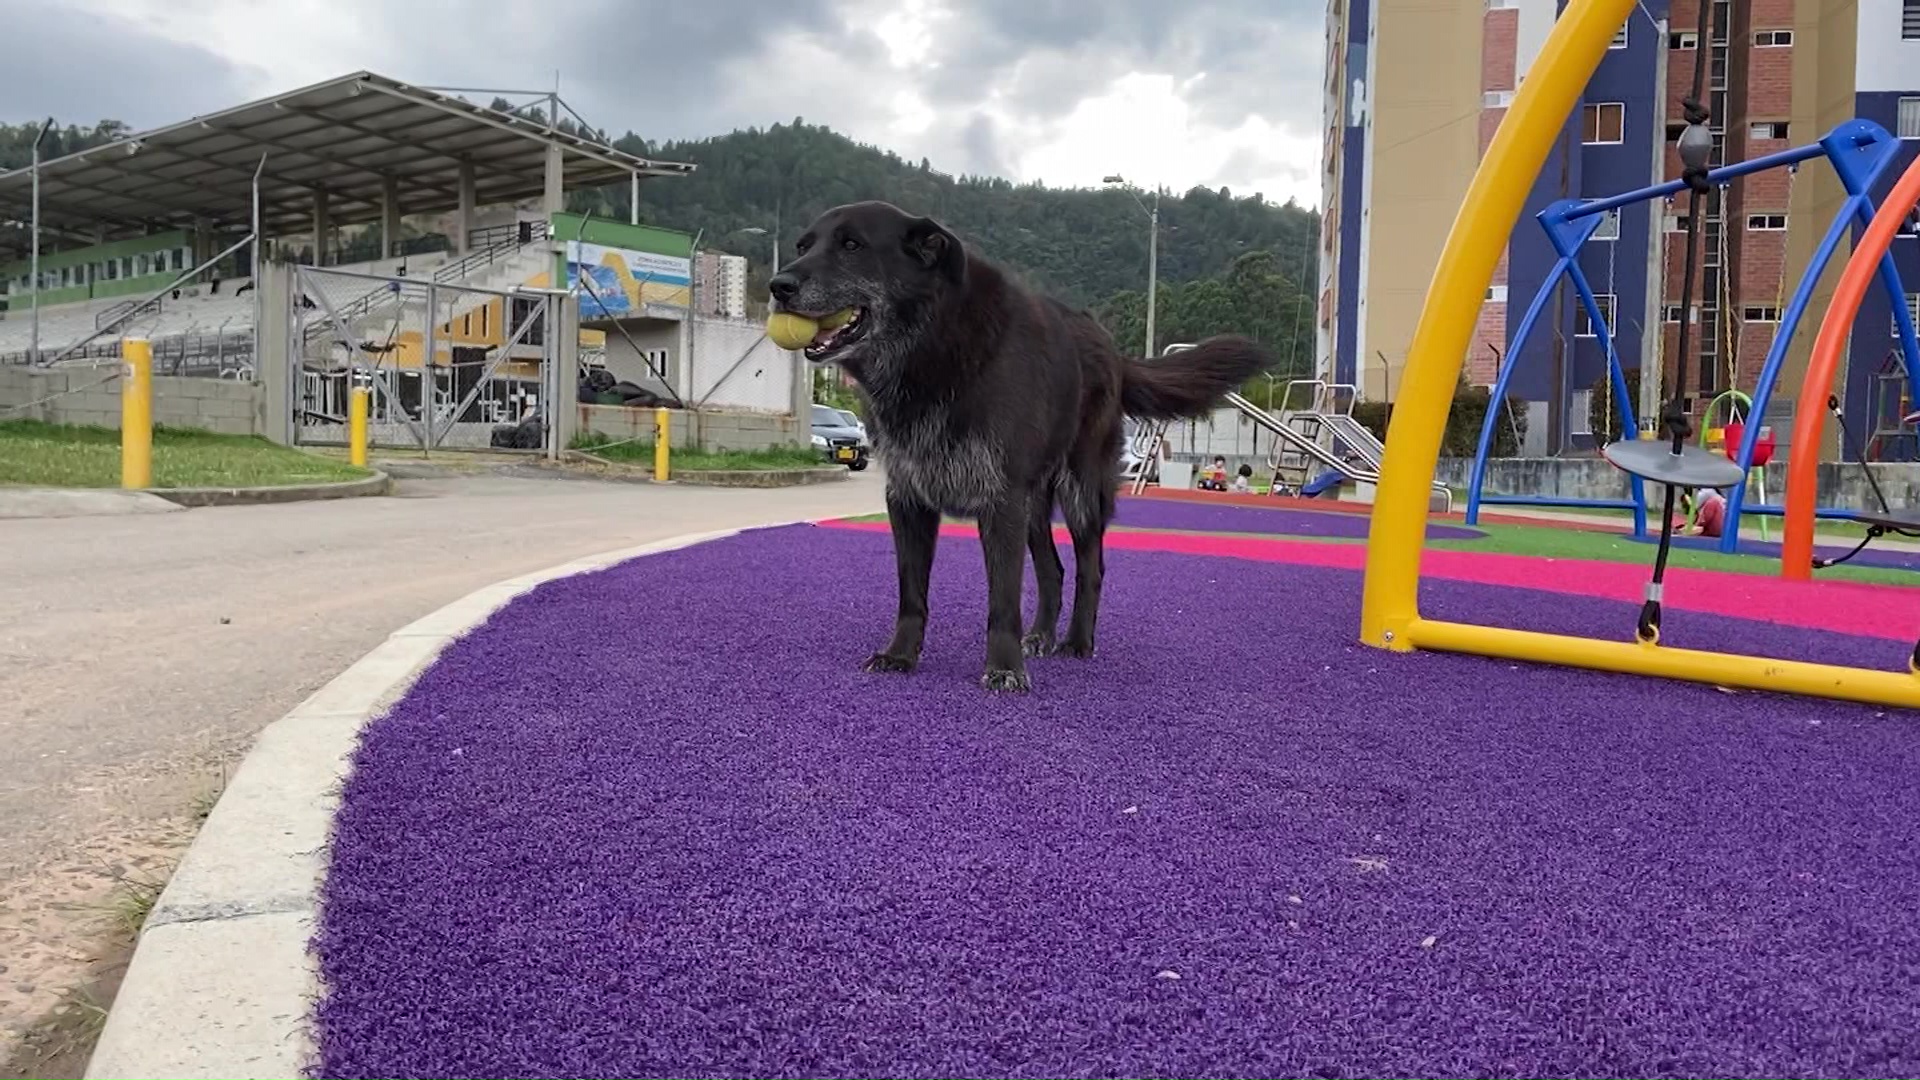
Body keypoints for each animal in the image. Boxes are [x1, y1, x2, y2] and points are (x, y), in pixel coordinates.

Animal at [764, 199, 1274, 687]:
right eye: (802, 246)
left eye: (852, 245)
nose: (777, 286)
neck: (933, 346)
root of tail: (1113, 352)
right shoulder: (908, 499)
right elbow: (912, 594)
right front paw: (901, 655)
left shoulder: (1000, 500)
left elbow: (1003, 599)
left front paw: (1005, 669)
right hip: (1033, 508)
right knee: (1052, 571)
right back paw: (1042, 636)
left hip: (1079, 494)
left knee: (1090, 569)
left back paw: (1076, 641)